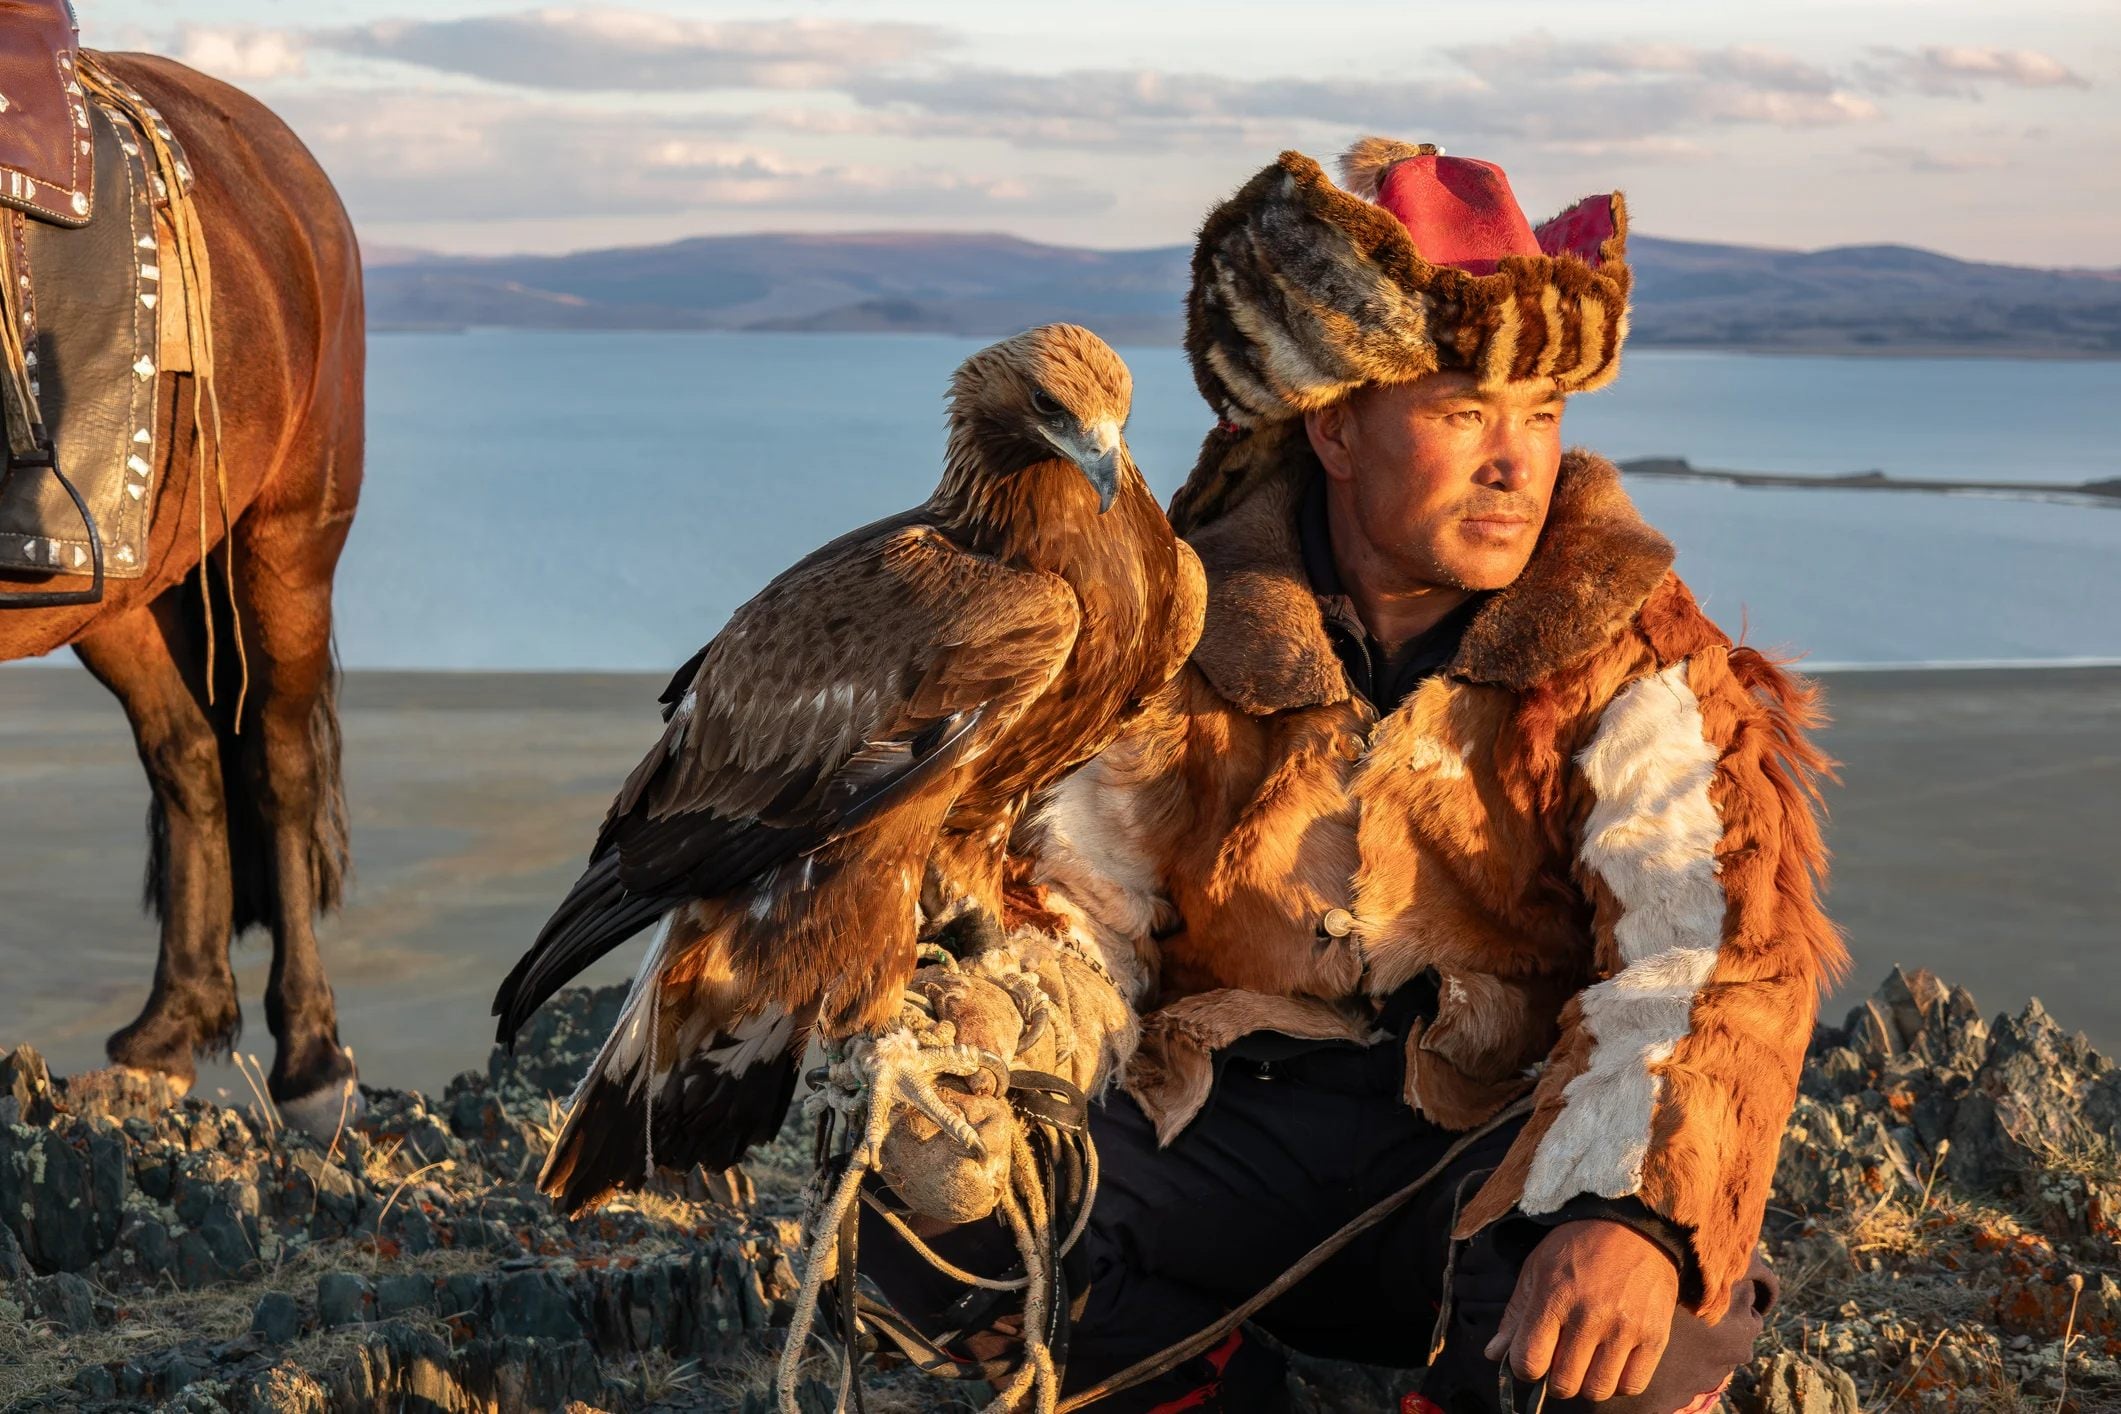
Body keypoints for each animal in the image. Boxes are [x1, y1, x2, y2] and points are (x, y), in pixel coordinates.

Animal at [0, 52, 365, 1130]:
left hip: (286, 549)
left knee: (278, 768)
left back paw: (312, 1058)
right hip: (119, 595)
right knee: (189, 756)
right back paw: (169, 1028)